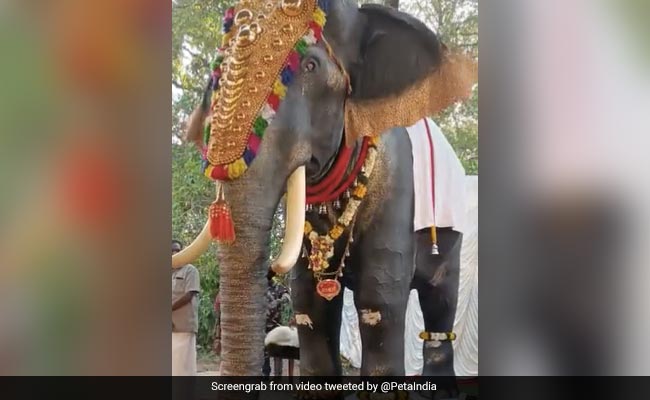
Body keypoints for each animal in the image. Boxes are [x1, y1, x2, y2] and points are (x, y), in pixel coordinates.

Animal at [173, 0, 477, 380]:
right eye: (216, 73)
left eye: (311, 66)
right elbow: (310, 309)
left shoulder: (398, 184)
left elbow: (379, 304)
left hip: (452, 235)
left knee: (439, 307)